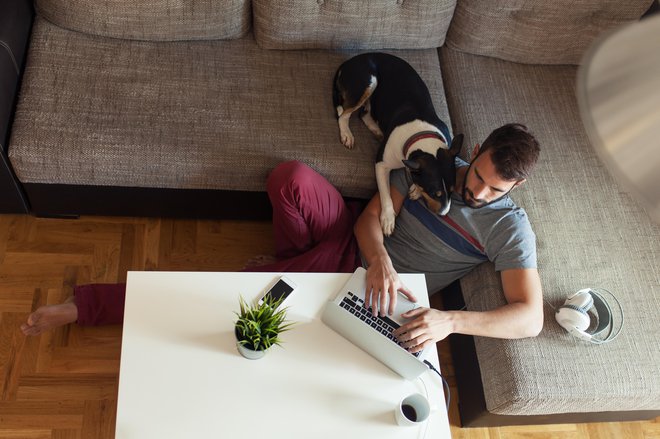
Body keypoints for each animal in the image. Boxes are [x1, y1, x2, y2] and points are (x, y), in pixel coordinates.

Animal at [332, 53, 462, 237]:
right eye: (434, 193)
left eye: (452, 191)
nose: (443, 214)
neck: (423, 137)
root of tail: (351, 60)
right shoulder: (381, 165)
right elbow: (385, 194)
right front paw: (388, 219)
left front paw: (415, 189)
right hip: (369, 81)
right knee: (344, 114)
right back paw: (347, 134)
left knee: (364, 114)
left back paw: (376, 129)